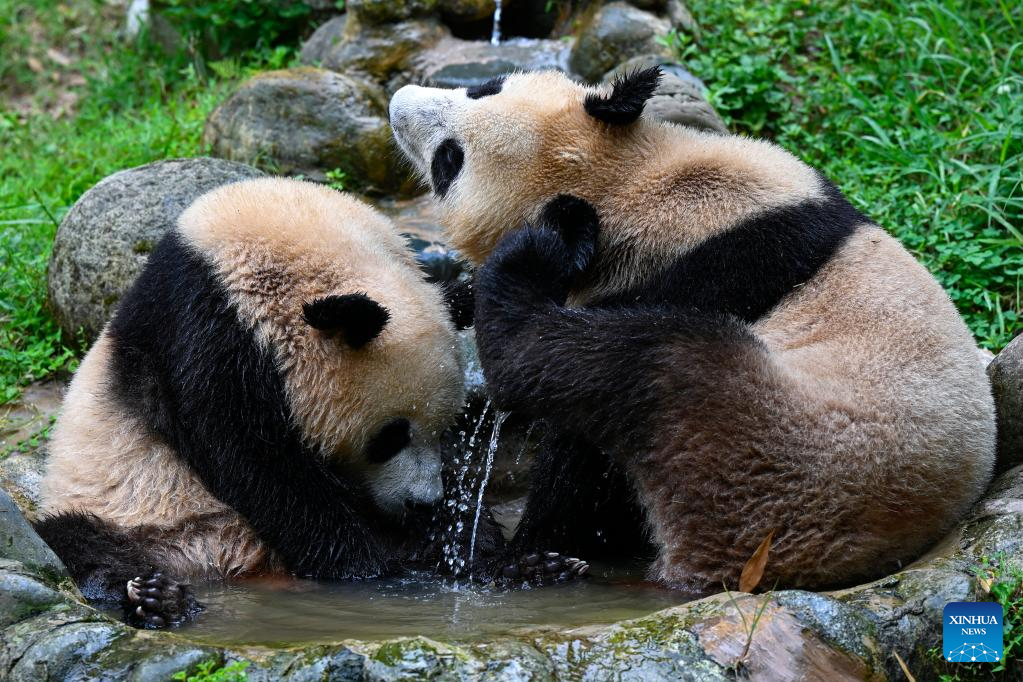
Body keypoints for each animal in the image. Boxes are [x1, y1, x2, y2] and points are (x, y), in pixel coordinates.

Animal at [34, 177, 585, 629]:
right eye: (391, 436)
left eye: (447, 427)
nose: (421, 501)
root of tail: (224, 558)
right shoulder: (205, 332)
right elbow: (259, 464)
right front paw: (374, 566)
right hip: (125, 507)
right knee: (79, 544)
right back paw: (154, 597)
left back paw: (524, 565)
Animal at [388, 66, 998, 593]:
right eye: (484, 87)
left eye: (449, 161)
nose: (397, 102)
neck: (622, 184)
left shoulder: (702, 271)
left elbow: (584, 453)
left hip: (776, 456)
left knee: (642, 366)